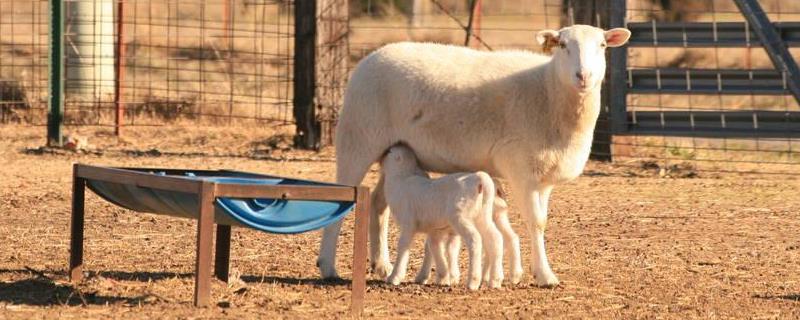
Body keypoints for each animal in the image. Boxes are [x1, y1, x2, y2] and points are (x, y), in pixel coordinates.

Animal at [380, 145, 500, 290]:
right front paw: (441, 277)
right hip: (482, 215)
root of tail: (479, 179)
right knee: (495, 238)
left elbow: (403, 247)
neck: (400, 178)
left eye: (389, 152)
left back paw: (473, 282)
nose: (380, 158)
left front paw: (394, 277)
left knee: (475, 239)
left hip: (460, 216)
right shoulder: (435, 229)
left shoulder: (408, 224)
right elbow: (433, 248)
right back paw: (495, 281)